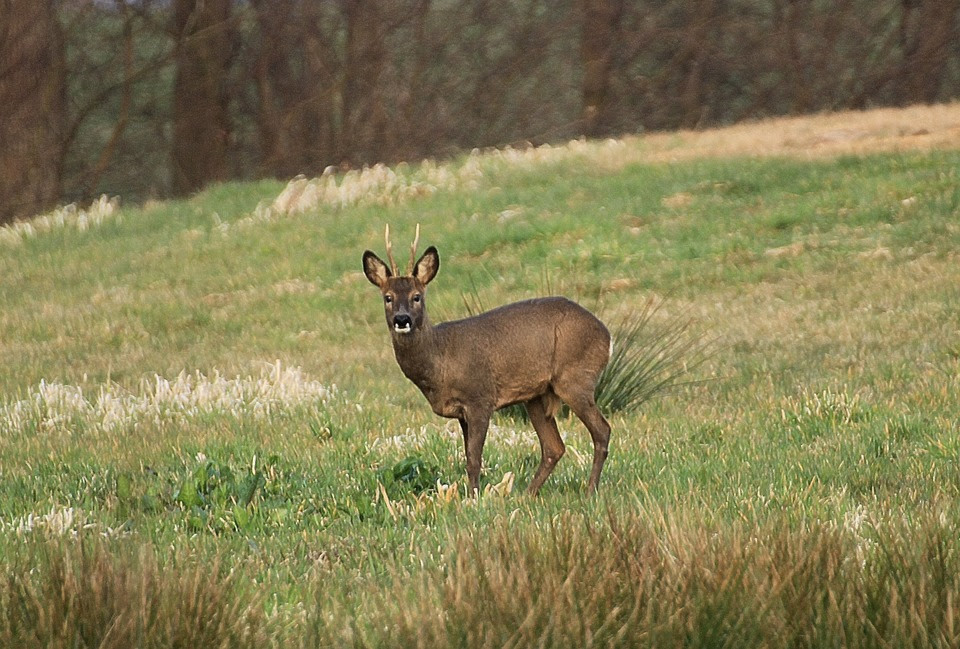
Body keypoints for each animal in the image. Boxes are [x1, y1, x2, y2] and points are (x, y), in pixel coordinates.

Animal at [364, 225, 612, 494]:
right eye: (388, 297)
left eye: (417, 296)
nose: (402, 319)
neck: (440, 361)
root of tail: (607, 335)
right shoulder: (462, 412)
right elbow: (468, 455)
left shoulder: (480, 397)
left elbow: (474, 458)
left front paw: (473, 496)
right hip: (536, 395)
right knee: (554, 447)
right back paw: (526, 495)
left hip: (575, 378)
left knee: (602, 430)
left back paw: (590, 491)